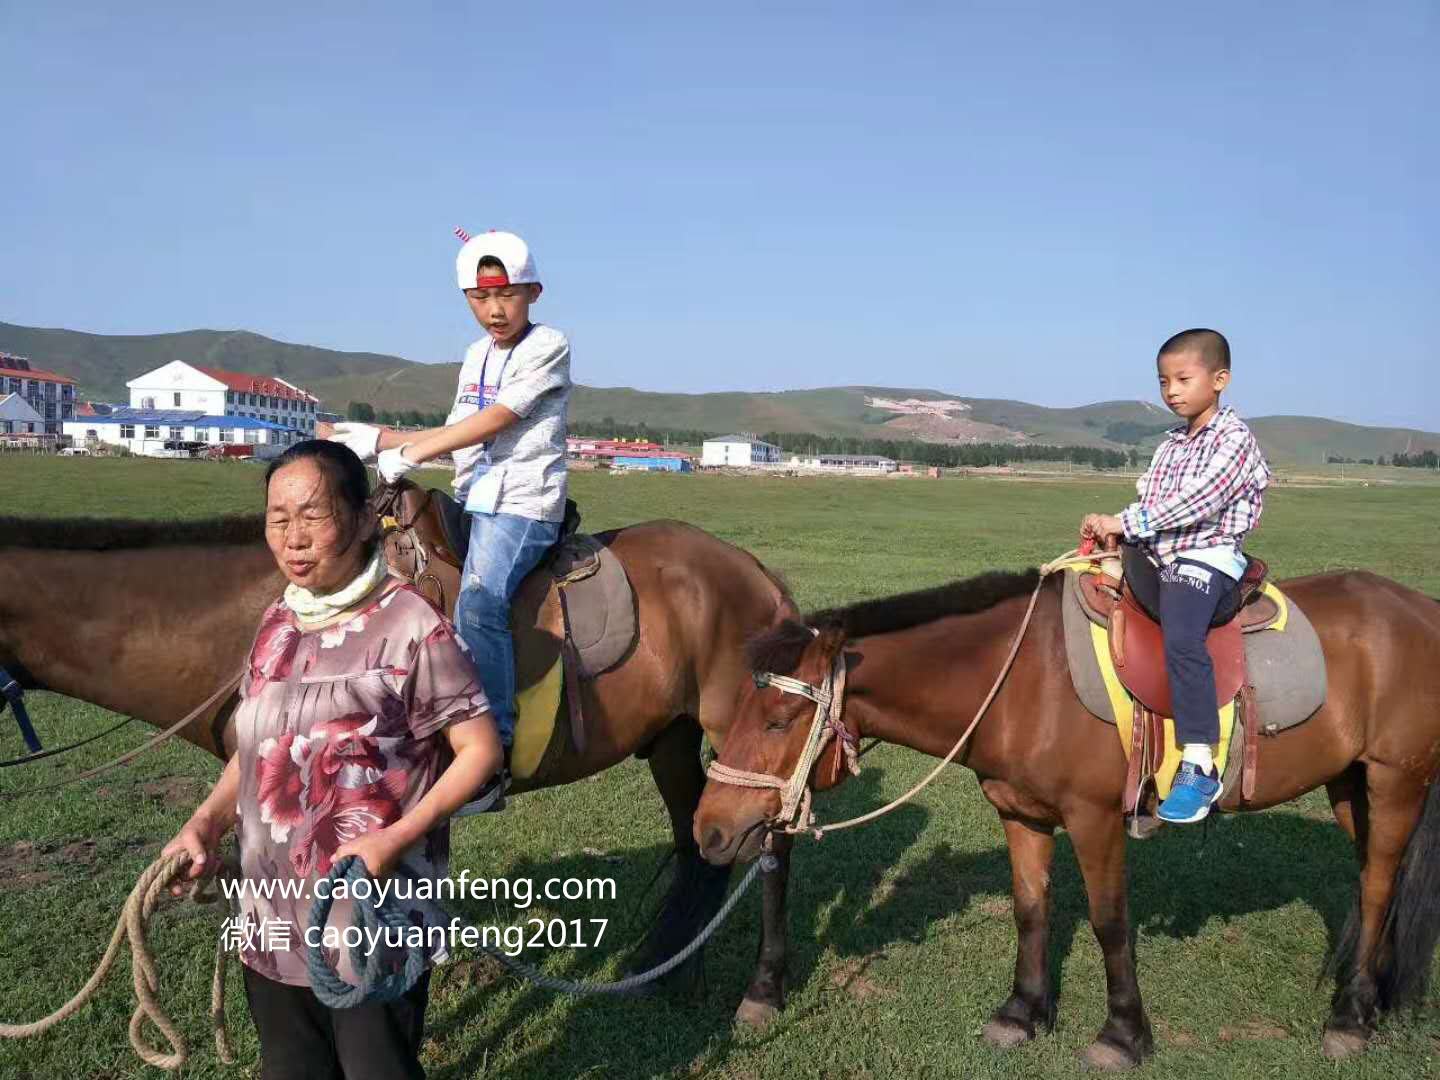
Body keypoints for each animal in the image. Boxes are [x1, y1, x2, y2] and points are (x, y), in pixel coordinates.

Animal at [0, 512, 800, 1013]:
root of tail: (754, 571)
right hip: (672, 738)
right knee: (700, 848)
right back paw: (666, 968)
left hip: (752, 738)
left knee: (770, 847)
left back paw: (761, 991)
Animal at [691, 567, 1440, 1065]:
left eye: (779, 719)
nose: (710, 830)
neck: (1024, 679)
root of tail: (1420, 609)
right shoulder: (1020, 813)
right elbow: (1031, 909)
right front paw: (1023, 1012)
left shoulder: (1095, 819)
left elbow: (1110, 923)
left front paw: (1122, 1034)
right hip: (1350, 785)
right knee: (1376, 881)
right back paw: (1369, 997)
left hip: (1396, 779)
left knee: (1378, 886)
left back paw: (1350, 1018)